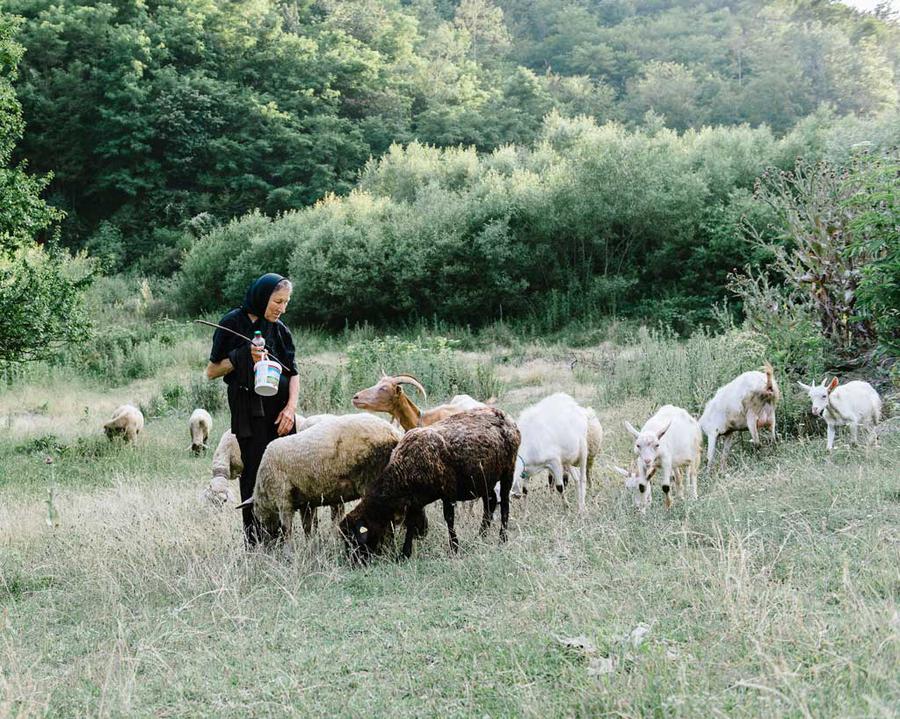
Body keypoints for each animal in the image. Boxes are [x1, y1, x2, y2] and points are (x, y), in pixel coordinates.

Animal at [236, 414, 400, 544]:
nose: (267, 537)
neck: (263, 488)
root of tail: (393, 433)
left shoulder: (283, 499)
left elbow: (287, 529)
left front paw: (289, 552)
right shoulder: (306, 503)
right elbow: (308, 528)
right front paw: (311, 547)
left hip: (373, 479)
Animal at [338, 404, 520, 564]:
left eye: (356, 539)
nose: (354, 563)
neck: (404, 469)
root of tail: (504, 416)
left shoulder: (448, 491)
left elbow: (449, 519)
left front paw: (454, 548)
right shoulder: (414, 501)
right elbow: (411, 525)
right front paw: (404, 554)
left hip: (508, 470)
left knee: (504, 503)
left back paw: (502, 538)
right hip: (484, 479)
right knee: (490, 502)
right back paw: (481, 536)